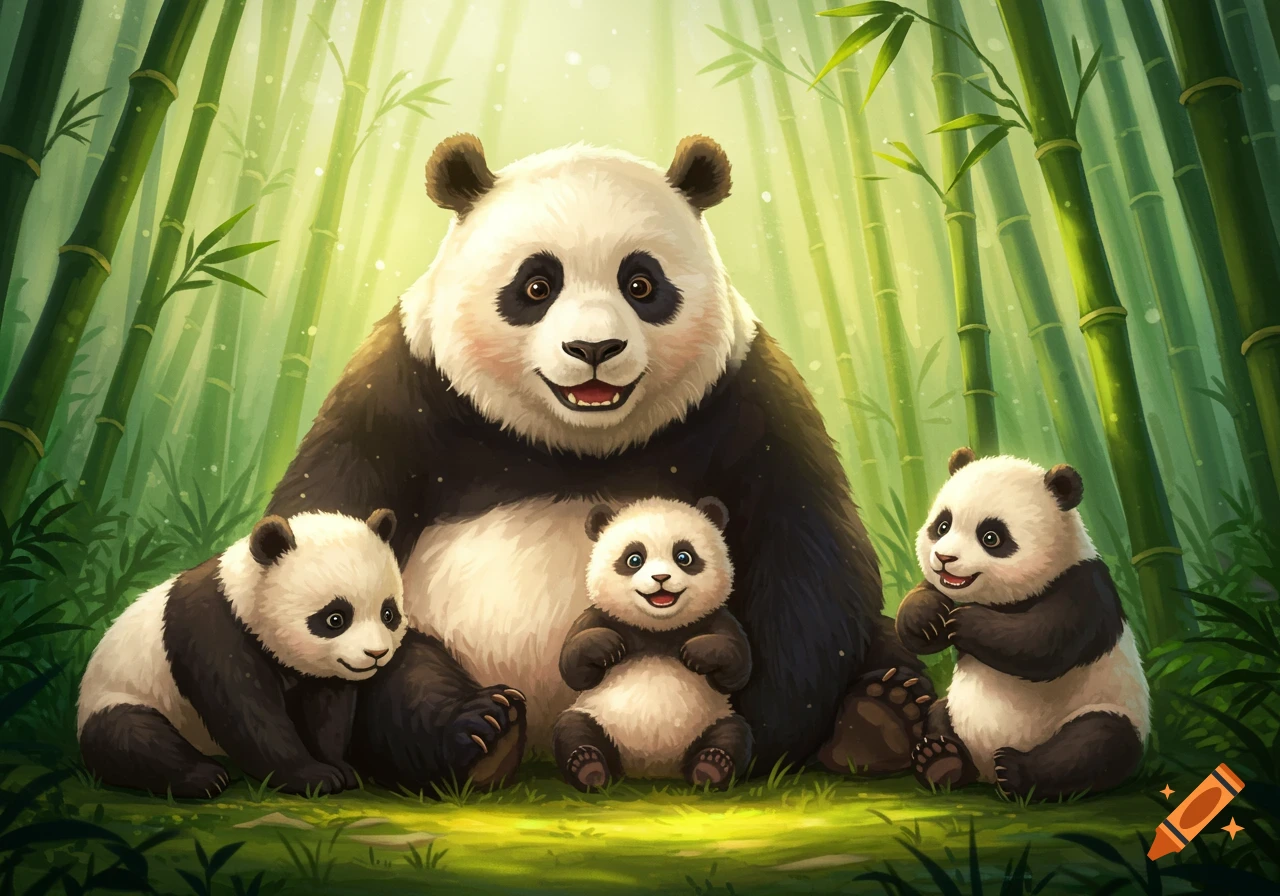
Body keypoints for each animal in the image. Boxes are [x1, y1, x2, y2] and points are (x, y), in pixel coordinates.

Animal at [77, 509, 425, 799]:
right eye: (335, 619)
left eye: (388, 614)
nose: (376, 653)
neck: (242, 599)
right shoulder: (213, 630)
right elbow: (246, 711)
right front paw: (313, 776)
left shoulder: (319, 672)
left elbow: (327, 710)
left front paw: (341, 768)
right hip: (120, 694)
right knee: (131, 735)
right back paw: (204, 777)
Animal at [554, 497, 751, 791]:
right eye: (634, 559)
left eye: (684, 556)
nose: (660, 578)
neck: (657, 630)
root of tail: (651, 768)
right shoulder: (600, 616)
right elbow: (573, 669)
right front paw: (607, 646)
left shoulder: (719, 619)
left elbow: (737, 669)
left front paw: (696, 653)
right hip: (596, 717)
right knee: (572, 728)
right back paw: (589, 767)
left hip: (712, 720)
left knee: (733, 732)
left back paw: (711, 767)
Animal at [895, 448, 1149, 800]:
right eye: (943, 525)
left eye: (991, 537)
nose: (944, 558)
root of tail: (985, 771)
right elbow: (918, 618)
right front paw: (928, 617)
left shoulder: (1084, 587)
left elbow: (1043, 645)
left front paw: (965, 620)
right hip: (956, 713)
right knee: (937, 714)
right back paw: (941, 760)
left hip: (1105, 708)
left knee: (1095, 743)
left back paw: (1014, 771)